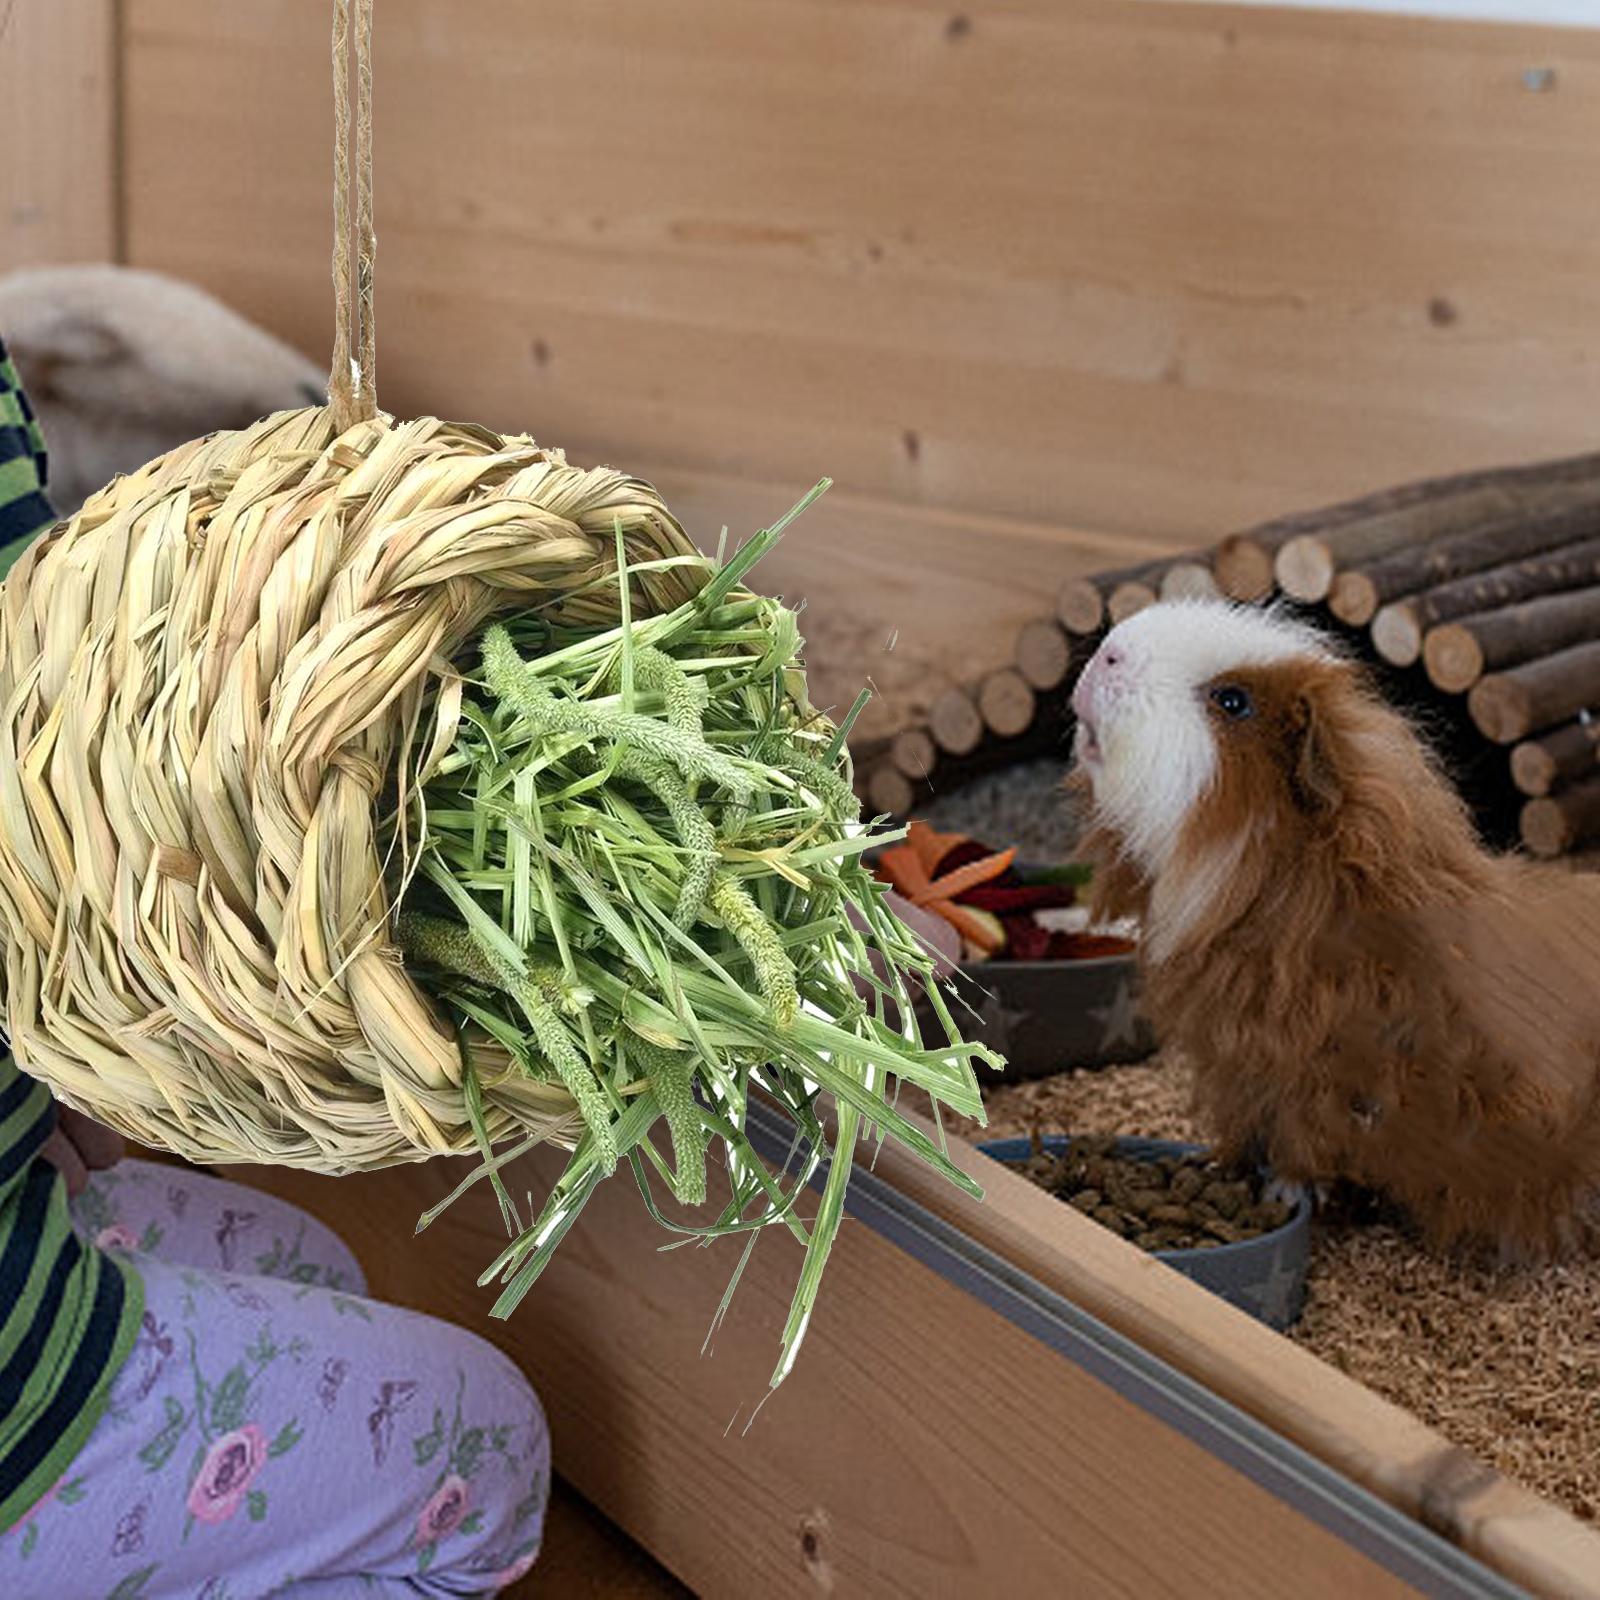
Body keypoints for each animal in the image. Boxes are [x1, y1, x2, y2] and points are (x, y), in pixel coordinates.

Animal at [1070, 599, 1600, 1263]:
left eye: (1233, 701)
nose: (1108, 652)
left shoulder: (1312, 1078)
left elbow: (1306, 1148)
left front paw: (1286, 1196)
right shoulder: (1242, 1068)